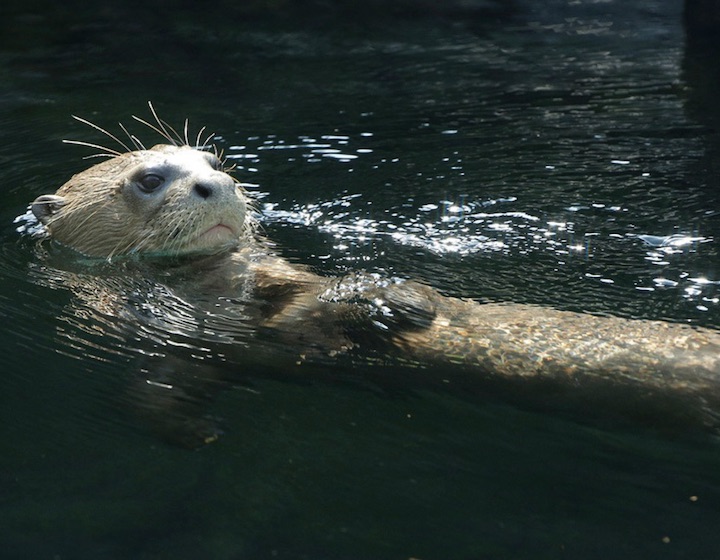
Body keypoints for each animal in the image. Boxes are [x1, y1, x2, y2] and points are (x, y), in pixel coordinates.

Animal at [26, 108, 720, 442]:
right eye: (150, 178)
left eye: (214, 161)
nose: (216, 183)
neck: (222, 289)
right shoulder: (194, 341)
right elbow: (161, 393)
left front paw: (401, 297)